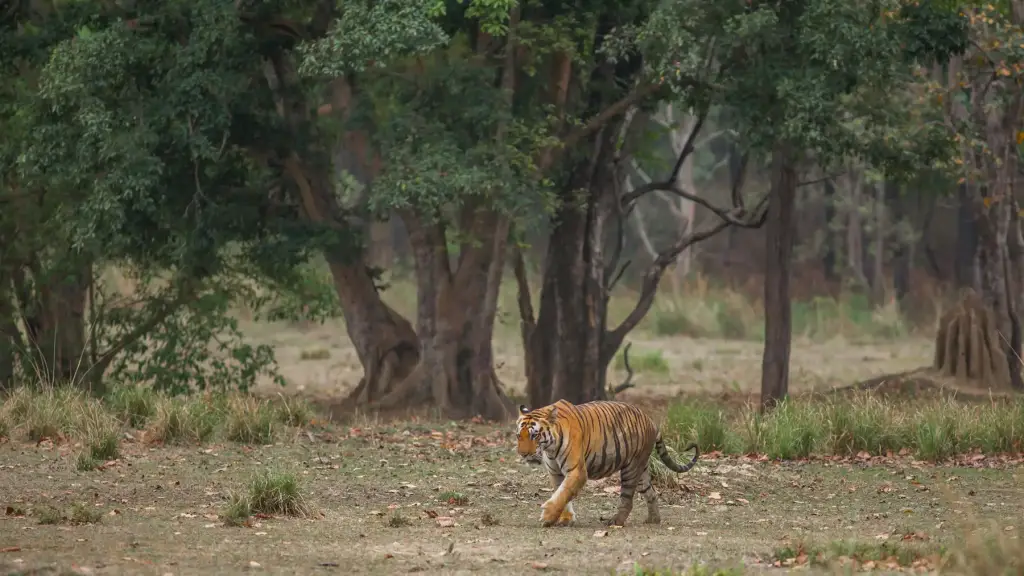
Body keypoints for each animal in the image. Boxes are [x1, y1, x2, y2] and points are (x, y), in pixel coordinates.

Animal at [515, 399, 699, 527]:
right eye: (518, 435)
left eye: (535, 435)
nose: (523, 454)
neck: (550, 448)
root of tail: (651, 421)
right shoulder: (555, 472)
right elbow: (561, 494)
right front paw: (565, 519)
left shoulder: (577, 471)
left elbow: (564, 493)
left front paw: (547, 517)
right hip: (642, 470)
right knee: (652, 493)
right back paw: (653, 520)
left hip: (631, 469)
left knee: (627, 500)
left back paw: (615, 521)